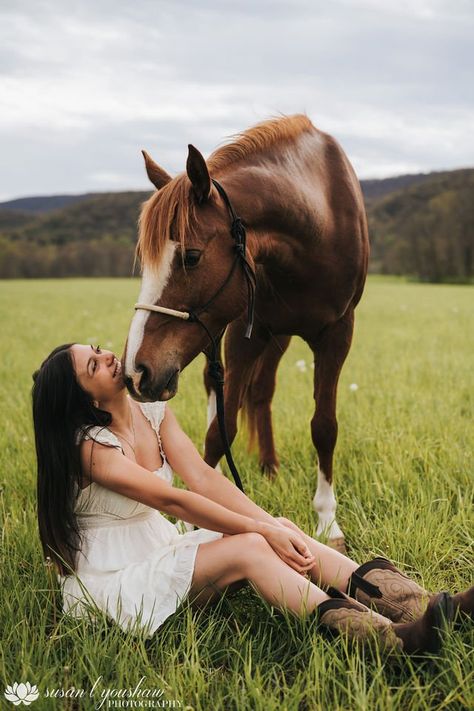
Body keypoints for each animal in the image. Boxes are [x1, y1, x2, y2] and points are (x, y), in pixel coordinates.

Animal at [124, 115, 368, 552]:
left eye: (191, 256)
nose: (136, 371)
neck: (316, 223)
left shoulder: (337, 334)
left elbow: (324, 427)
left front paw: (327, 522)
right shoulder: (244, 333)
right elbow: (219, 432)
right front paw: (196, 517)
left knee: (262, 391)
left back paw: (270, 466)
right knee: (218, 389)